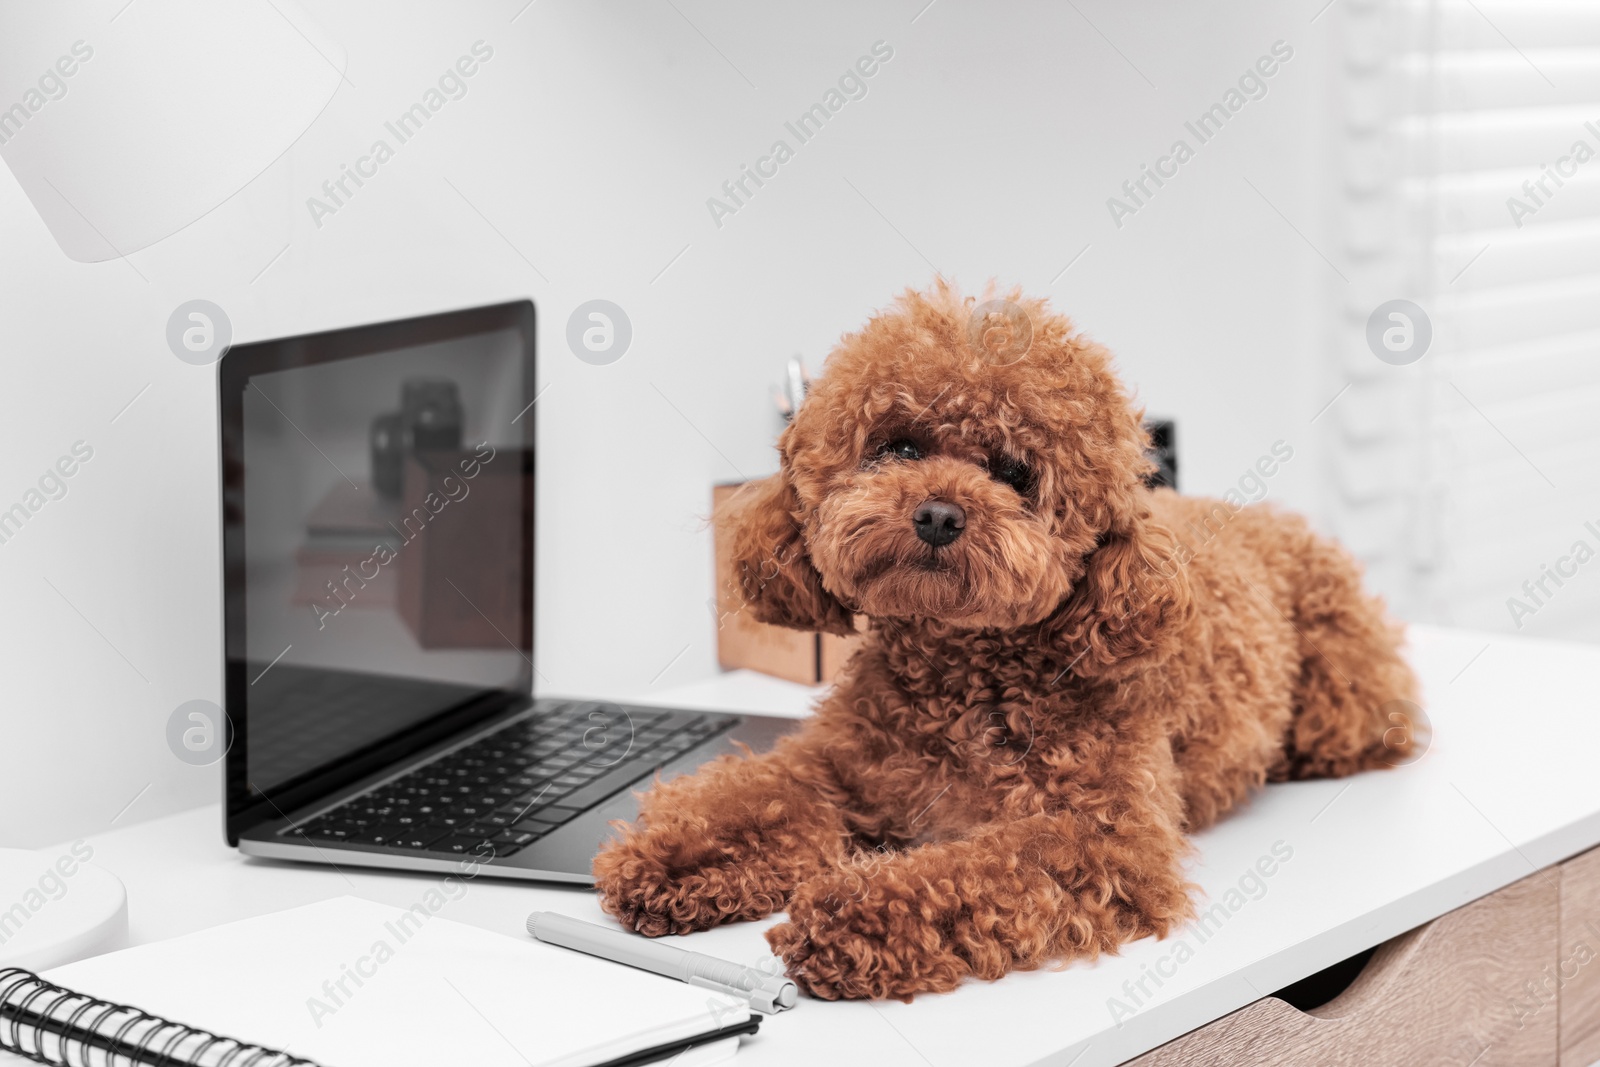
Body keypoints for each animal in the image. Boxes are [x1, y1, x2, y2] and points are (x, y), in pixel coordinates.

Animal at [595, 281, 1420, 1004]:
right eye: (897, 447)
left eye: (1016, 472)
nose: (937, 514)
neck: (961, 677)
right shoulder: (838, 765)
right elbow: (760, 794)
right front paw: (673, 858)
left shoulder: (1102, 840)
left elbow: (976, 869)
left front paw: (848, 915)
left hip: (1345, 694)